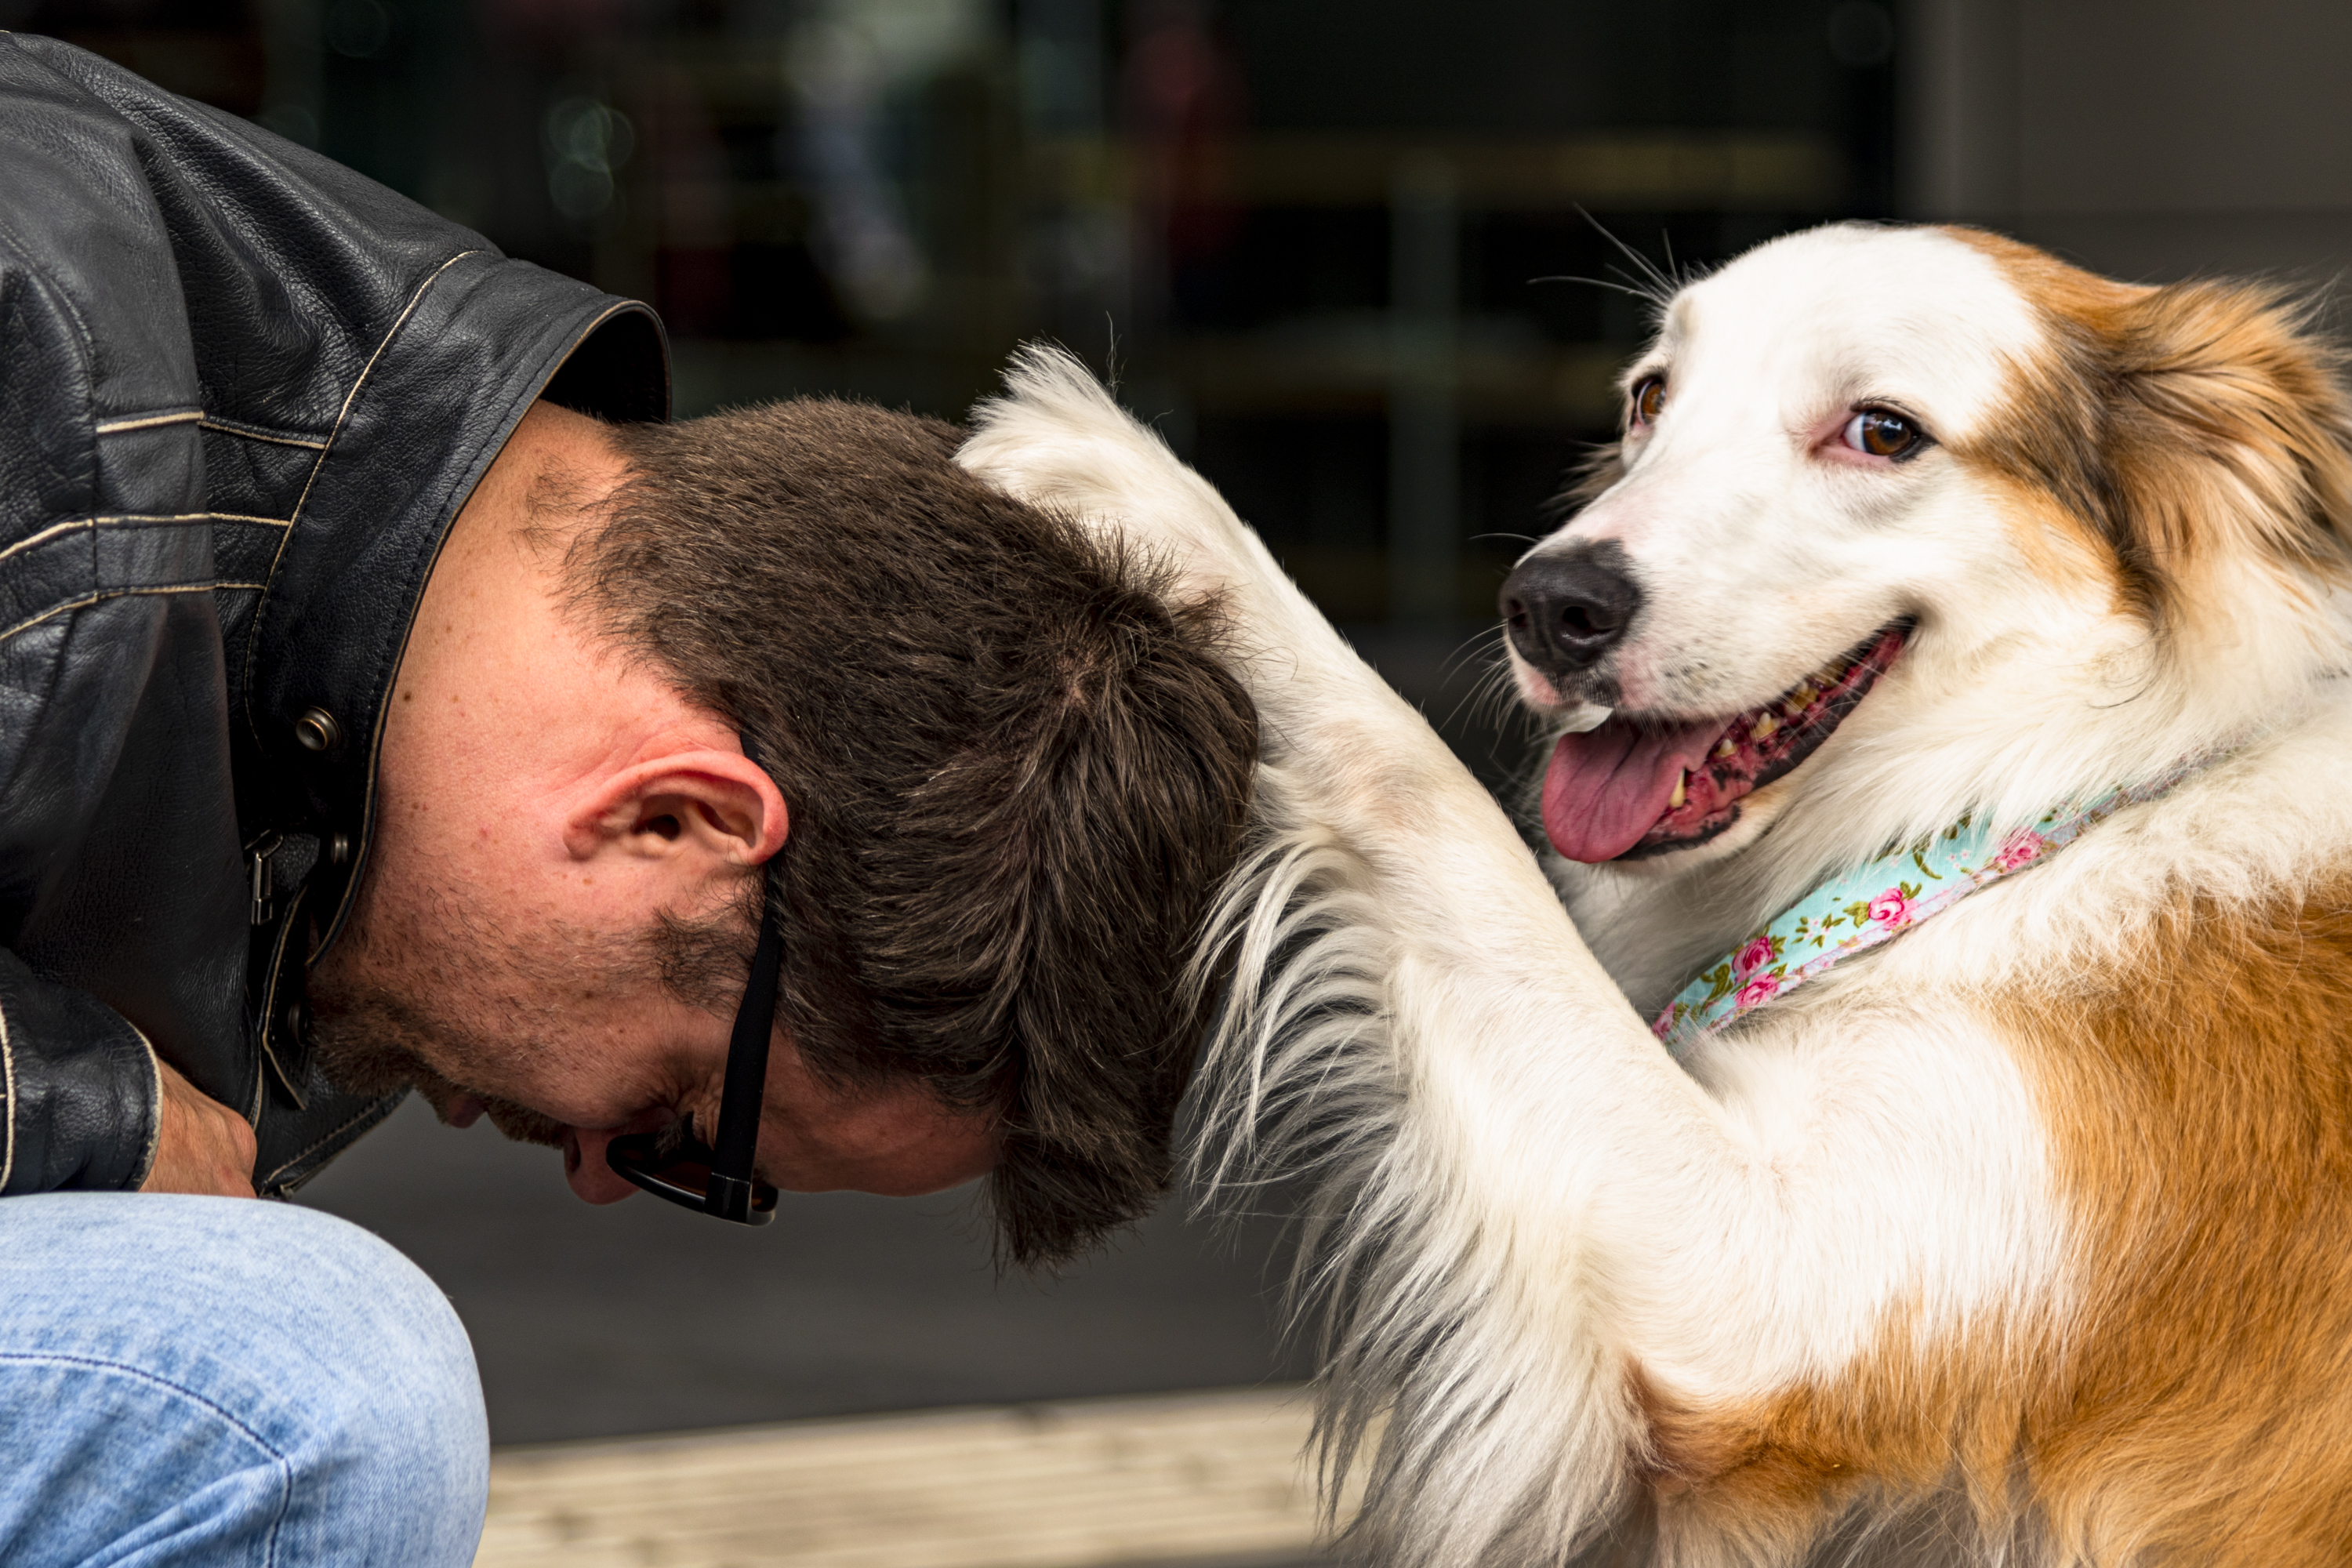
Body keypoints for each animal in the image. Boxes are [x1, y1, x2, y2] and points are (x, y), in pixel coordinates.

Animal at [964, 227, 2352, 1568]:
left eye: (1882, 431)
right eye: (1649, 398)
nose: (1548, 605)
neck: (2043, 806)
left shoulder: (1762, 1287)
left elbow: (1425, 786)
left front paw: (1146, 492)